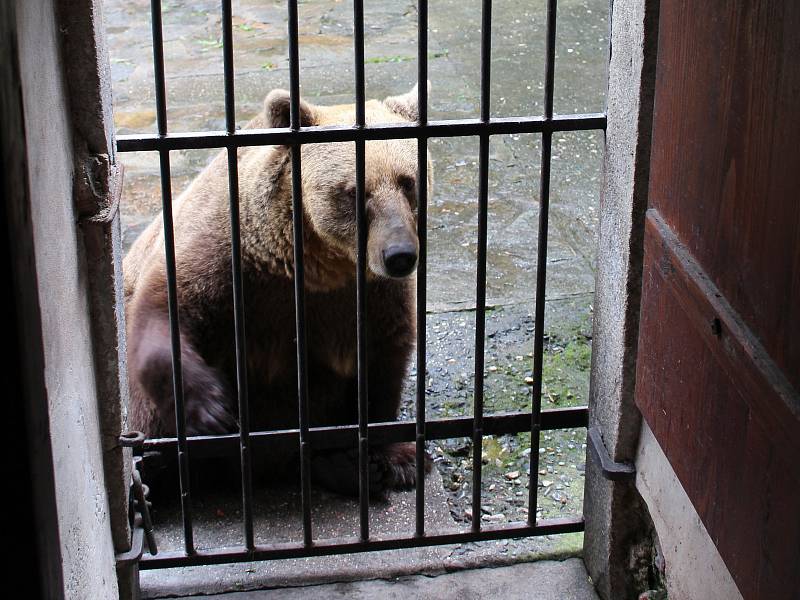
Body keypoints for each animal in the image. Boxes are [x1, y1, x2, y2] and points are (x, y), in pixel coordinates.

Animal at [123, 84, 432, 496]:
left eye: (408, 181)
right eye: (354, 192)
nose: (400, 255)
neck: (318, 264)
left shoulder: (370, 294)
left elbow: (383, 362)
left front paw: (399, 460)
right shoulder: (227, 256)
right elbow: (166, 313)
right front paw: (213, 411)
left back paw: (343, 466)